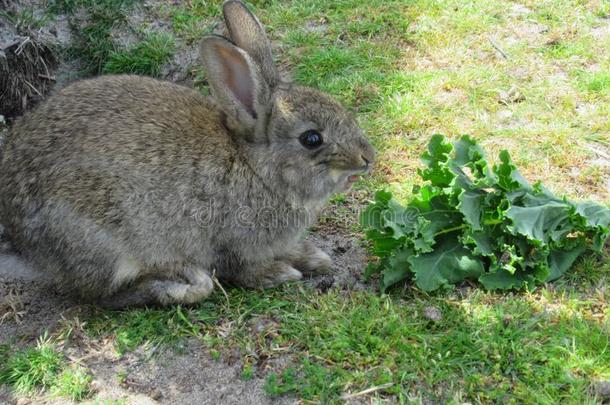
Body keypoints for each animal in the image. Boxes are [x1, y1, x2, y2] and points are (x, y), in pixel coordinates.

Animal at [0, 0, 370, 308]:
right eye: (312, 139)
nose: (367, 158)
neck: (256, 168)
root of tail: (21, 241)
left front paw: (312, 257)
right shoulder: (233, 244)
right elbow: (244, 271)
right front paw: (280, 274)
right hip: (105, 246)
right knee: (104, 298)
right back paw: (180, 286)